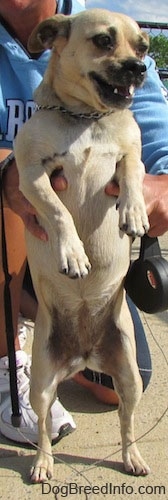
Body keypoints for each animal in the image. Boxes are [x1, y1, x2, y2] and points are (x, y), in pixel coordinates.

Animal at [14, 9, 150, 482]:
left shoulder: (131, 154)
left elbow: (132, 171)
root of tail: (85, 355)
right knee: (41, 428)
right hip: (40, 384)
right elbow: (58, 213)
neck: (87, 120)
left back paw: (132, 457)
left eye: (144, 46)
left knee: (127, 421)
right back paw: (41, 463)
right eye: (103, 41)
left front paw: (133, 212)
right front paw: (72, 252)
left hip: (129, 377)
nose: (140, 67)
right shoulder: (32, 174)